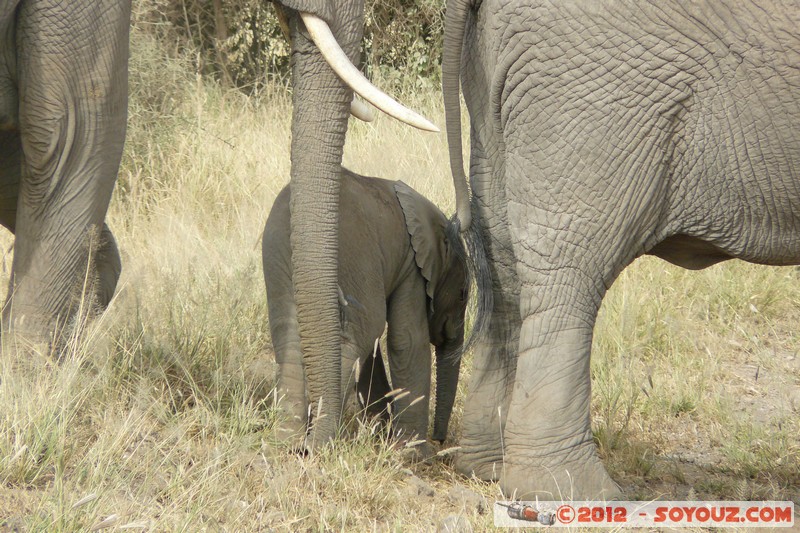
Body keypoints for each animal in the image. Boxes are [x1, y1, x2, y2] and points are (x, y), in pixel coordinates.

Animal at [263, 169, 468, 452]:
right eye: (463, 295)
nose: (440, 439)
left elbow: (375, 350)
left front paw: (382, 432)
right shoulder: (412, 266)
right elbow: (407, 340)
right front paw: (416, 453)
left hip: (280, 261)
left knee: (291, 340)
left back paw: (285, 443)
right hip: (355, 257)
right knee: (355, 341)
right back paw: (318, 443)